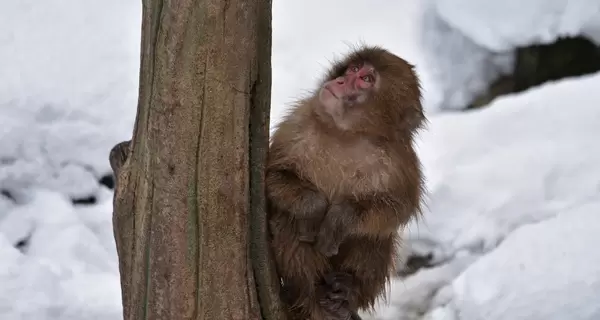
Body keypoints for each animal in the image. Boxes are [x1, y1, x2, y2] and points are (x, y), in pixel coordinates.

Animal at [268, 45, 426, 320]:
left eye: (366, 79)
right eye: (353, 68)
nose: (341, 81)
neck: (345, 135)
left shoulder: (400, 159)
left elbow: (398, 207)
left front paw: (340, 217)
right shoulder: (298, 122)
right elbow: (273, 175)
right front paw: (315, 207)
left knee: (375, 236)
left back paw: (348, 292)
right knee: (288, 221)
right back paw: (308, 292)